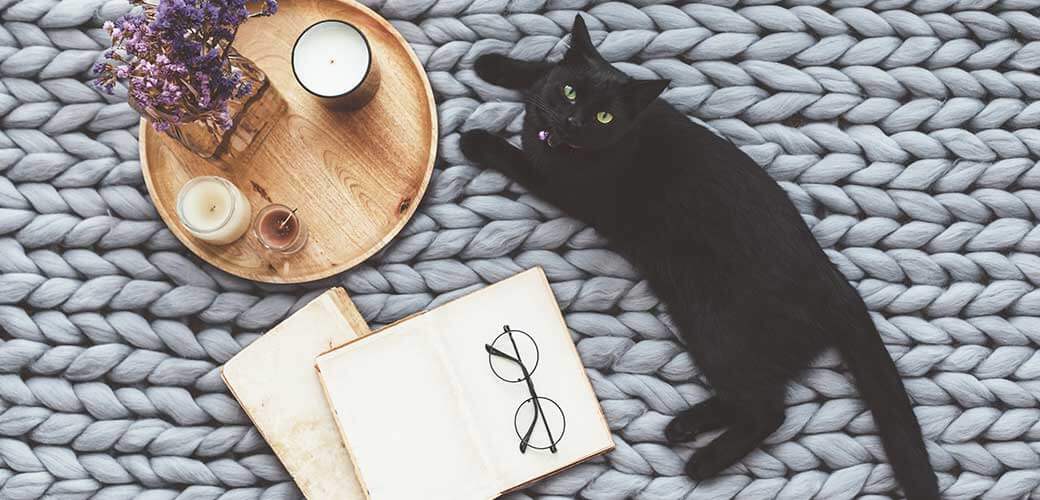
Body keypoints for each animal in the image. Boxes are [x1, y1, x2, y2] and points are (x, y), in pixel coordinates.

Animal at [463, 13, 944, 496]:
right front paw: (494, 64)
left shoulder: (560, 186)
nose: (571, 120)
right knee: (753, 397)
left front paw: (478, 140)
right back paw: (686, 426)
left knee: (770, 408)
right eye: (570, 92)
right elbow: (539, 72)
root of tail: (836, 282)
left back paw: (703, 460)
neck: (552, 139)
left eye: (603, 117)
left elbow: (518, 158)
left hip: (714, 326)